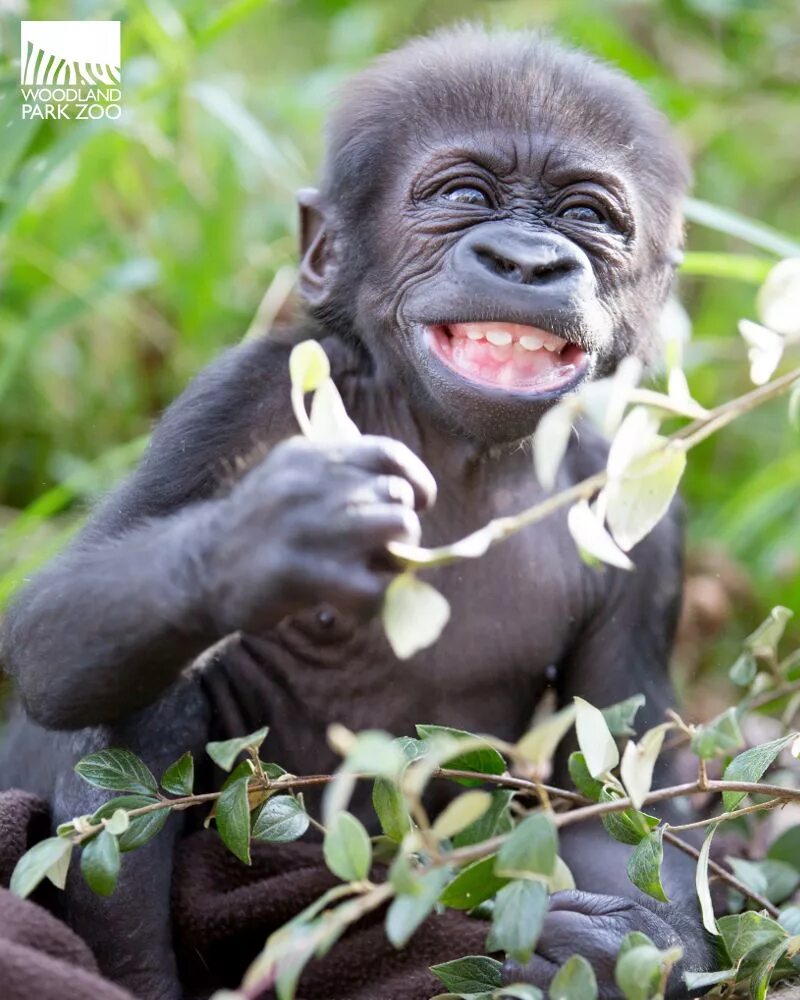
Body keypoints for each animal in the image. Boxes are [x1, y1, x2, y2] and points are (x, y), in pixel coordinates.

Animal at [1, 23, 712, 1000]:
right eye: (463, 196)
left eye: (588, 217)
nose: (527, 262)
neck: (459, 447)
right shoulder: (241, 395)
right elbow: (51, 624)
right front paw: (269, 538)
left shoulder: (641, 522)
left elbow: (624, 780)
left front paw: (623, 945)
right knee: (134, 701)